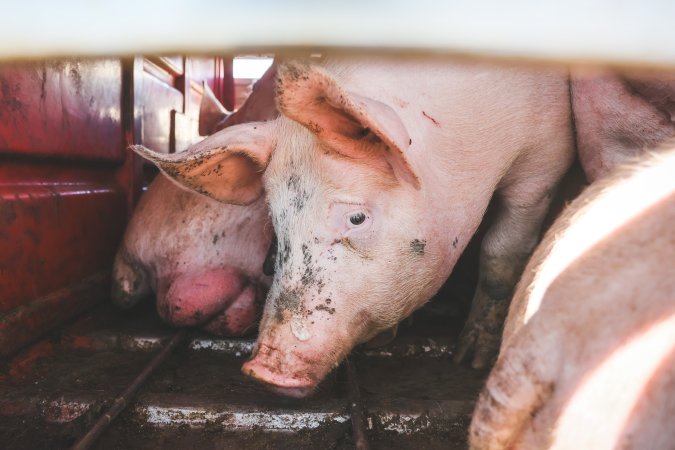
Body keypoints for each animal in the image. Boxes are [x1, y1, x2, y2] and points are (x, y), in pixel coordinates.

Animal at [133, 55, 576, 394]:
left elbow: (502, 254)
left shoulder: (545, 159)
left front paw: (471, 360)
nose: (263, 370)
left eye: (356, 217)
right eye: (276, 221)